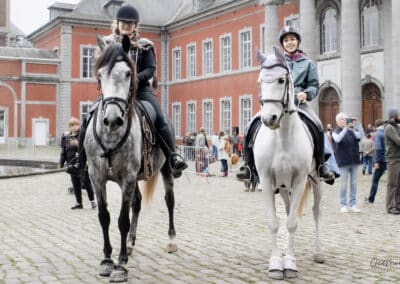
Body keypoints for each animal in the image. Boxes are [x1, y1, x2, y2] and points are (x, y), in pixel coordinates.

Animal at [84, 36, 177, 282]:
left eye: (128, 73)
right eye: (100, 74)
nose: (112, 119)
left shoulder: (127, 177)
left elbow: (122, 220)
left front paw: (120, 265)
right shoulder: (97, 178)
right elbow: (104, 217)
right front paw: (107, 260)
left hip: (166, 169)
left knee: (169, 201)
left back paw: (171, 240)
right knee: (137, 203)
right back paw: (131, 243)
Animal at [255, 46, 324, 280]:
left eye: (281, 80)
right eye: (260, 81)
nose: (269, 119)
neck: (283, 139)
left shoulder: (301, 180)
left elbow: (293, 223)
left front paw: (291, 263)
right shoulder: (267, 181)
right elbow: (274, 222)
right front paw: (277, 262)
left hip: (315, 181)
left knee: (316, 211)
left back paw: (318, 253)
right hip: (284, 187)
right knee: (286, 211)